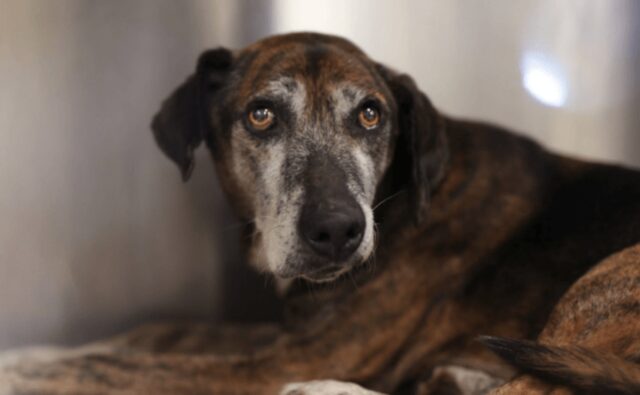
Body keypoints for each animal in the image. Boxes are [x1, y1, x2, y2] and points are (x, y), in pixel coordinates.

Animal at [1, 31, 640, 395]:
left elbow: (119, 368)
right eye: (261, 114)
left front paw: (25, 375)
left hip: (601, 281)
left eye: (370, 115)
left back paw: (325, 390)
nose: (337, 231)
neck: (403, 192)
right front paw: (36, 351)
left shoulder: (294, 357)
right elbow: (162, 330)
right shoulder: (289, 334)